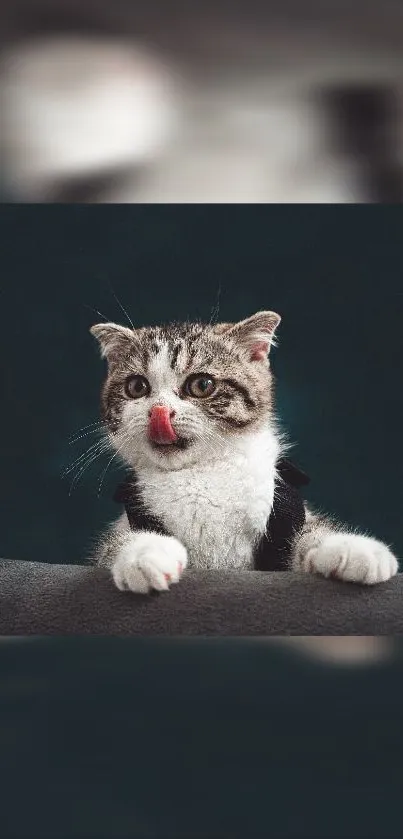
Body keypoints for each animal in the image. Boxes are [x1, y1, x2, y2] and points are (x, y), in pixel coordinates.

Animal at [90, 312, 398, 592]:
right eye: (136, 387)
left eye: (202, 385)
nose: (159, 411)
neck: (200, 473)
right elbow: (114, 545)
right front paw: (145, 555)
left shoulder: (284, 519)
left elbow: (310, 531)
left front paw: (352, 548)